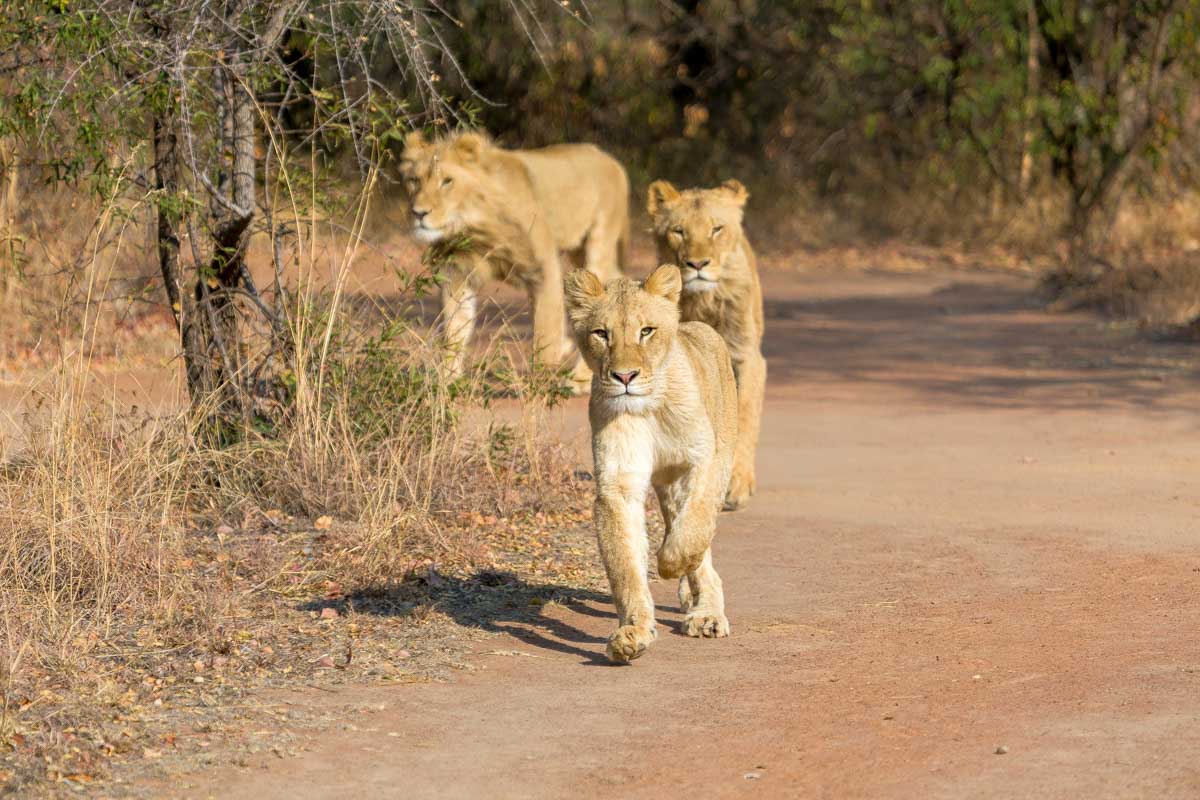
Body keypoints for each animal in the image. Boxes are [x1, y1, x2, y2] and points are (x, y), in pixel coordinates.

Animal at [401, 130, 630, 390]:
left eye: (447, 181)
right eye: (414, 180)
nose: (419, 213)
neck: (472, 225)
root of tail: (608, 158)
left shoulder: (544, 267)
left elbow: (545, 332)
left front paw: (542, 387)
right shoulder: (456, 274)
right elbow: (454, 328)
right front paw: (446, 381)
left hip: (599, 240)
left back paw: (580, 378)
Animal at [565, 264, 737, 663]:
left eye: (646, 331)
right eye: (601, 334)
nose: (625, 377)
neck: (650, 406)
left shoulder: (707, 460)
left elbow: (693, 528)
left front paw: (668, 563)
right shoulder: (618, 482)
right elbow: (625, 565)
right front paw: (634, 633)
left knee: (697, 534)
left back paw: (706, 612)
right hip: (667, 485)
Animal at [646, 178, 765, 511]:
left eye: (716, 229)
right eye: (679, 231)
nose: (697, 264)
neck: (705, 300)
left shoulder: (746, 356)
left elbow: (745, 415)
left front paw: (737, 484)